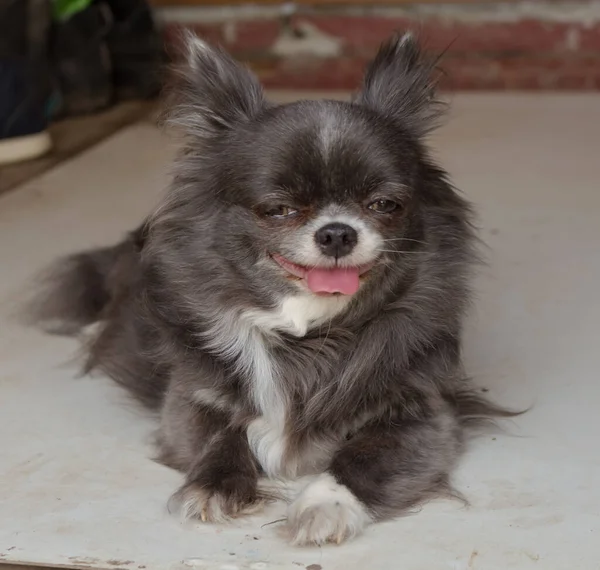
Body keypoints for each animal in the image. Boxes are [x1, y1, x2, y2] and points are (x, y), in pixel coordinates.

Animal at [29, 32, 516, 544]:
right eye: (278, 210)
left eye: (384, 204)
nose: (337, 232)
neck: (307, 333)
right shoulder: (187, 402)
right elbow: (223, 433)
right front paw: (212, 485)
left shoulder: (425, 417)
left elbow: (364, 458)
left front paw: (325, 504)